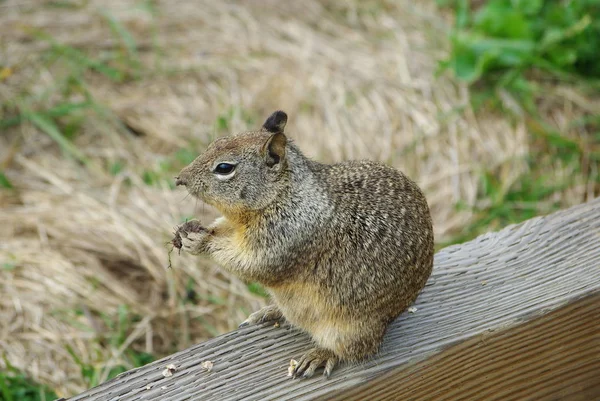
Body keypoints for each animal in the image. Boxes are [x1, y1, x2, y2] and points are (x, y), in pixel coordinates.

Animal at [172, 110, 432, 378]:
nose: (180, 179)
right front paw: (192, 229)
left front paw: (200, 241)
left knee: (356, 350)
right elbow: (223, 229)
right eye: (215, 142)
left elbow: (251, 264)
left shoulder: (286, 238)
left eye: (224, 168)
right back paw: (271, 312)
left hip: (350, 330)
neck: (283, 194)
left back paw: (320, 355)